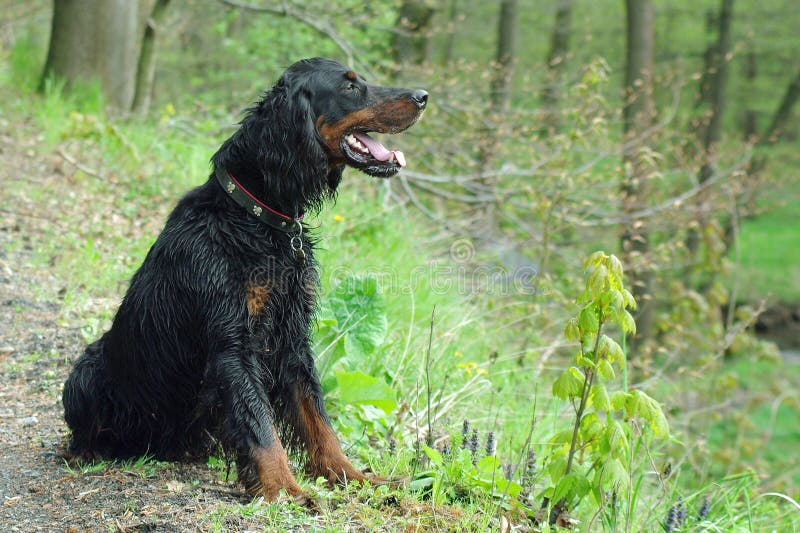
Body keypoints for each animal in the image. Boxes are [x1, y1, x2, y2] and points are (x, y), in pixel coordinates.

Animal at [64, 58, 424, 502]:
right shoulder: (234, 345)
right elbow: (260, 427)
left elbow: (317, 418)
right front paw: (285, 490)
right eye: (350, 87)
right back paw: (89, 450)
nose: (423, 96)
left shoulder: (291, 339)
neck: (255, 216)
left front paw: (350, 476)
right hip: (85, 371)